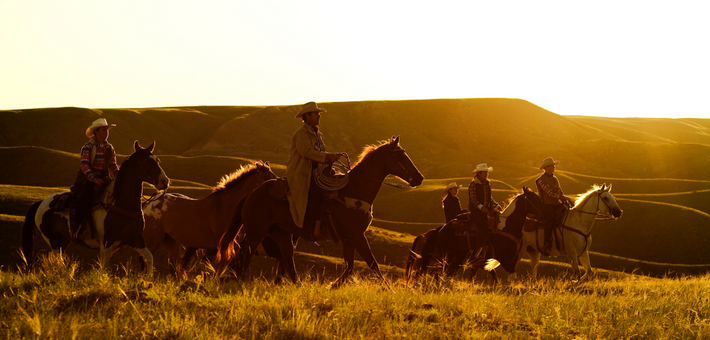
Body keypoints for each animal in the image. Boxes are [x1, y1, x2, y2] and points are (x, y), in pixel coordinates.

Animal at [23, 141, 170, 276]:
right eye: (144, 161)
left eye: (157, 160)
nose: (165, 181)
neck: (120, 204)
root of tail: (42, 203)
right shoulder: (107, 243)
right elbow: (104, 267)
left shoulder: (135, 239)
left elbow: (149, 257)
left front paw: (148, 280)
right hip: (53, 240)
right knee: (58, 261)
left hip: (63, 240)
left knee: (58, 261)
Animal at [220, 135, 426, 284]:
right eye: (399, 156)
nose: (419, 178)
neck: (354, 189)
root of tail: (251, 194)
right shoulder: (357, 235)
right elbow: (373, 264)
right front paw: (389, 290)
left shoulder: (349, 238)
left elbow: (350, 268)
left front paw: (333, 286)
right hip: (256, 233)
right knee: (244, 257)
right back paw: (238, 282)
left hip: (282, 235)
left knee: (287, 262)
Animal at [408, 187, 548, 282]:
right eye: (535, 199)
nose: (546, 212)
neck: (507, 227)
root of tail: (441, 230)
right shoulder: (505, 260)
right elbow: (511, 278)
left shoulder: (508, 260)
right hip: (449, 257)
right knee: (437, 273)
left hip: (455, 259)